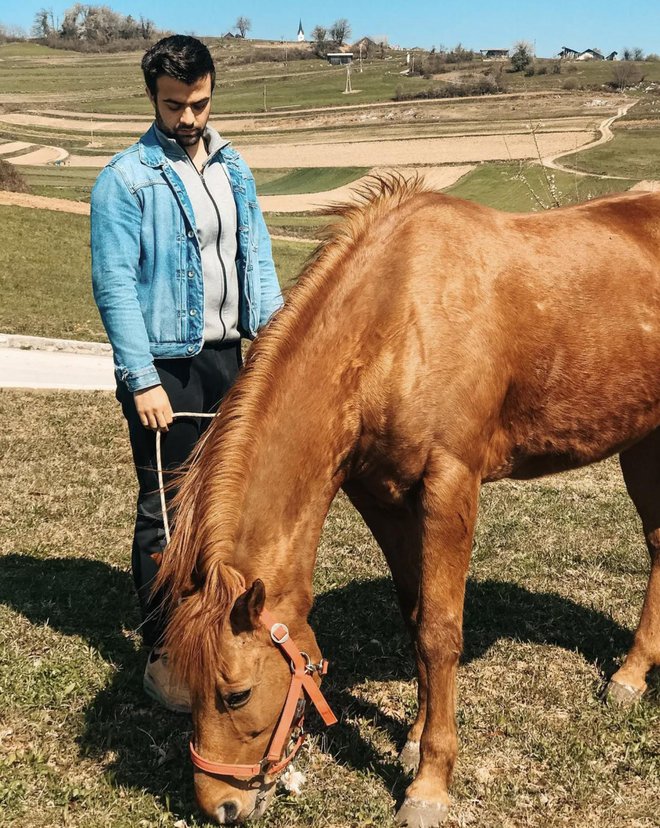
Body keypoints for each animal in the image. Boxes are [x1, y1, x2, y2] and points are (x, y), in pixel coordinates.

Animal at [156, 178, 660, 824]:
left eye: (235, 693)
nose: (218, 805)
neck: (398, 320)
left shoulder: (450, 484)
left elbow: (440, 632)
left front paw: (429, 784)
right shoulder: (384, 498)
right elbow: (416, 616)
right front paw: (416, 739)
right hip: (642, 443)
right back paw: (632, 673)